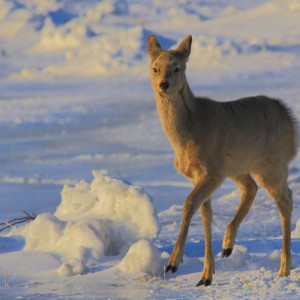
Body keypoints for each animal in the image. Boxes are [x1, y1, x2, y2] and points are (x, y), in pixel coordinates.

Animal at [146, 34, 298, 288]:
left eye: (177, 68)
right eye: (154, 68)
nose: (163, 84)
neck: (191, 129)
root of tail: (290, 119)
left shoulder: (212, 171)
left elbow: (189, 204)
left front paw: (174, 262)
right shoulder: (200, 174)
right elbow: (205, 214)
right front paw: (206, 275)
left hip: (271, 164)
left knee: (285, 198)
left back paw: (284, 267)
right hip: (239, 167)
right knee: (251, 188)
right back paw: (228, 245)